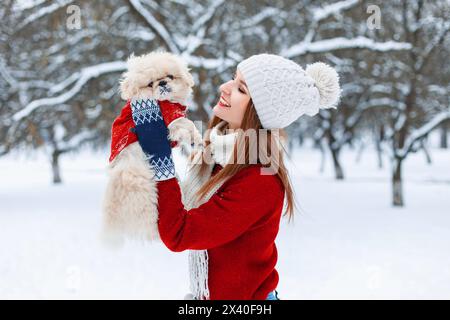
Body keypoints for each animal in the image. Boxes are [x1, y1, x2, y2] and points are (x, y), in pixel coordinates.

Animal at [103, 50, 201, 245]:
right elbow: (187, 124)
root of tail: (123, 165)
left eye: (170, 76)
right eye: (150, 84)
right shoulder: (172, 118)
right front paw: (198, 139)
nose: (162, 83)